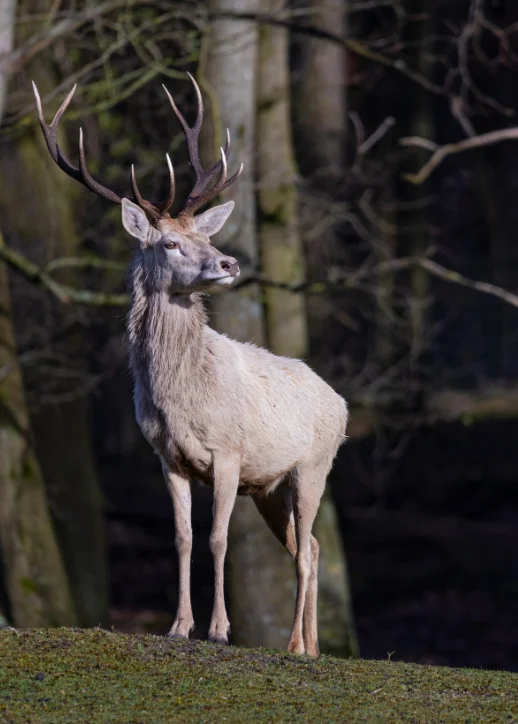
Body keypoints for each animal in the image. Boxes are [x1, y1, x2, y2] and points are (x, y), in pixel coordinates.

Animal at [33, 74, 348, 658]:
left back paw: (294, 643)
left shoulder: (228, 452)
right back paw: (312, 646)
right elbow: (182, 537)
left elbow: (218, 537)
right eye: (171, 242)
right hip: (269, 487)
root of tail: (341, 404)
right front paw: (179, 625)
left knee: (306, 548)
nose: (229, 262)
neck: (182, 400)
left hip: (313, 465)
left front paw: (220, 630)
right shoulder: (168, 457)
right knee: (312, 545)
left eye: (207, 236)